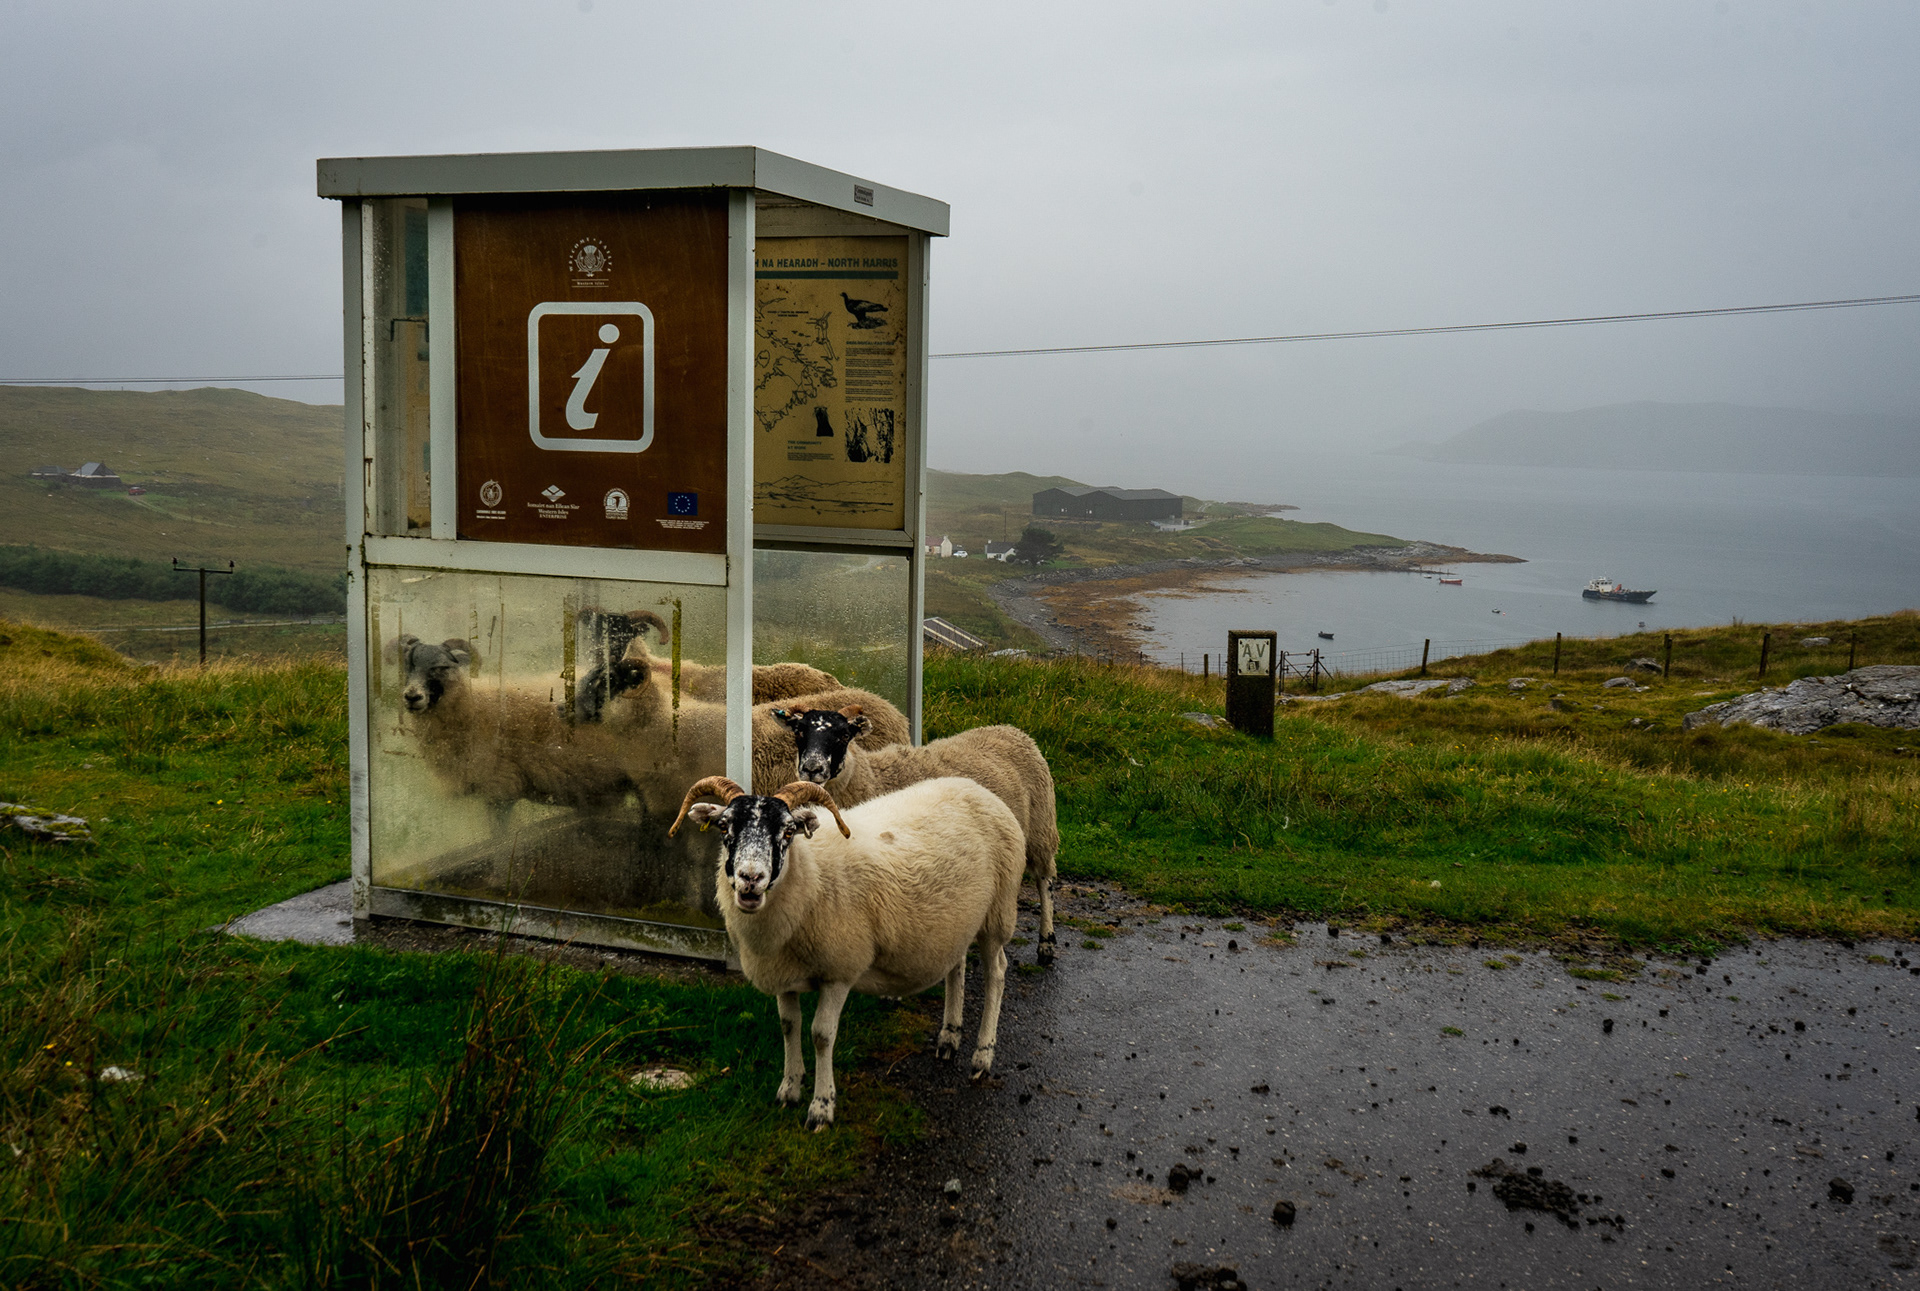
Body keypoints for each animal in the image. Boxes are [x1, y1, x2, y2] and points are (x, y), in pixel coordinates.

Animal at [670, 774, 1023, 1129]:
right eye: (724, 826)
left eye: (788, 831)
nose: (750, 878)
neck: (810, 875)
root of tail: (975, 787)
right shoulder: (783, 972)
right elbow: (788, 1025)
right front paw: (789, 1089)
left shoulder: (839, 971)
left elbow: (821, 1035)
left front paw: (821, 1107)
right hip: (957, 923)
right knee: (956, 966)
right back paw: (949, 1037)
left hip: (998, 911)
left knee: (997, 972)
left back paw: (982, 1056)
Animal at [774, 707, 1061, 963]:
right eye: (799, 731)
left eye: (844, 735)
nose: (812, 768)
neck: (872, 777)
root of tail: (1011, 729)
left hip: (1040, 828)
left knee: (1045, 880)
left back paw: (1046, 943)